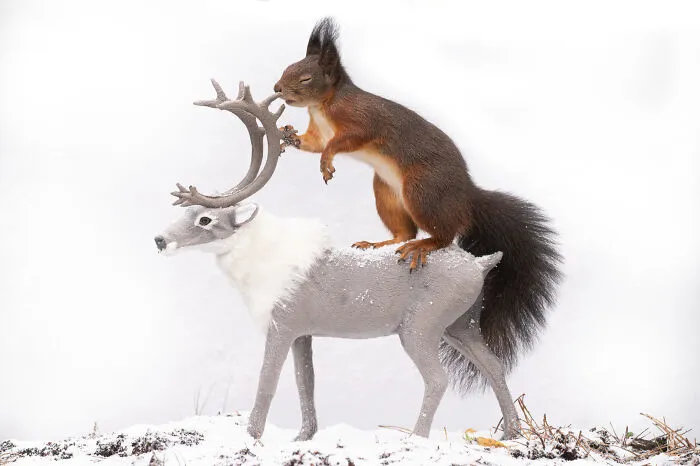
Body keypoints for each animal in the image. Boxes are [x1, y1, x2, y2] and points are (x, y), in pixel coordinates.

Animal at [274, 18, 562, 383]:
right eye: (289, 67)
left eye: (306, 78)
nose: (277, 88)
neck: (323, 106)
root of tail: (466, 196)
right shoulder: (318, 131)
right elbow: (311, 143)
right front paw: (287, 135)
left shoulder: (362, 121)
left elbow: (342, 142)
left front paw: (327, 161)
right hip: (386, 192)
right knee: (404, 232)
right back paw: (379, 243)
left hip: (422, 191)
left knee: (444, 235)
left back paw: (423, 247)